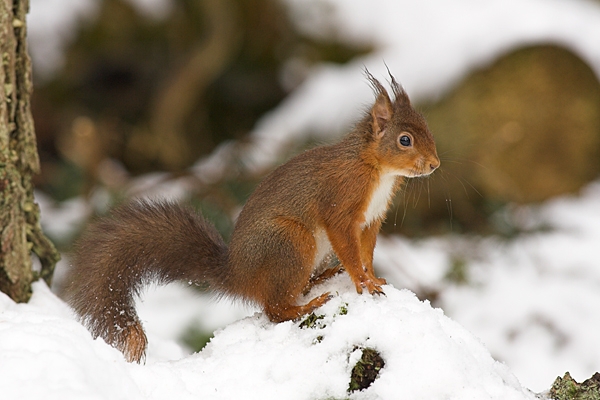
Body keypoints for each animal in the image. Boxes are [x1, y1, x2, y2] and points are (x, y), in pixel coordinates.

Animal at [64, 72, 440, 362]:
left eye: (427, 129)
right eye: (405, 140)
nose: (435, 164)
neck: (376, 170)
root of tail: (238, 274)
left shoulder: (372, 220)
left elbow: (367, 251)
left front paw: (373, 278)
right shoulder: (339, 207)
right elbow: (348, 248)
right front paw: (362, 282)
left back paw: (320, 279)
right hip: (291, 241)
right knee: (274, 309)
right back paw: (307, 305)